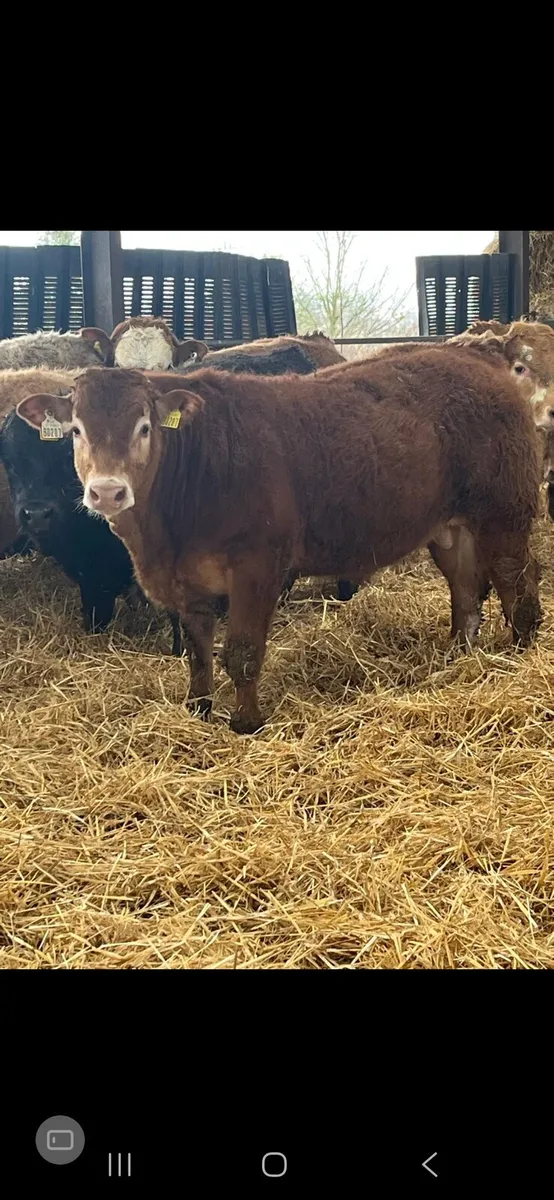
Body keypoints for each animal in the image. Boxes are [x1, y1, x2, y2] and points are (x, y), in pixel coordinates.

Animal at [17, 350, 542, 735]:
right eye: (76, 430)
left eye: (144, 428)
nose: (107, 491)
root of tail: (474, 357)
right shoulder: (188, 582)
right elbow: (198, 652)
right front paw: (198, 710)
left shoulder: (258, 567)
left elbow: (243, 652)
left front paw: (246, 723)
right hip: (450, 528)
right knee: (467, 590)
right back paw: (458, 657)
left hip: (504, 511)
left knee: (517, 582)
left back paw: (519, 653)